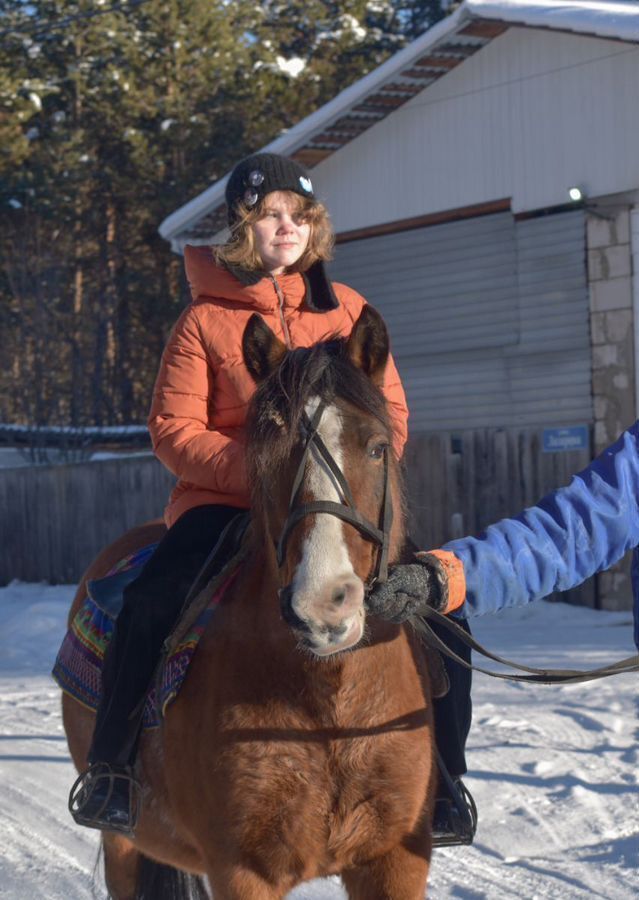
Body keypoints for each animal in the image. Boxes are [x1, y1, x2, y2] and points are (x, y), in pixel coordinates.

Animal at [62, 306, 438, 896]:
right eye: (264, 456)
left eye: (377, 447)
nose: (322, 605)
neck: (331, 705)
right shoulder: (241, 871)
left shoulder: (394, 861)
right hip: (125, 845)